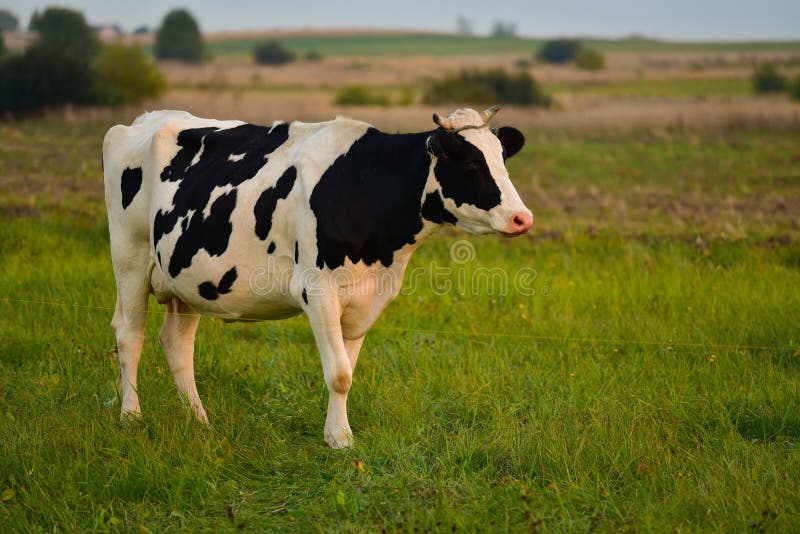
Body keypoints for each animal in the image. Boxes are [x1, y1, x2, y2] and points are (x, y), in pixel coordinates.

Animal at [103, 107, 536, 450]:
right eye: (471, 164)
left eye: (502, 159)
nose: (522, 218)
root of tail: (146, 119)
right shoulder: (318, 289)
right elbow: (339, 373)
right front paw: (342, 440)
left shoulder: (365, 297)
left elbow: (347, 369)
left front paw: (333, 433)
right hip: (130, 256)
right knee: (129, 334)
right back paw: (131, 416)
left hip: (186, 278)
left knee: (177, 344)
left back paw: (200, 421)